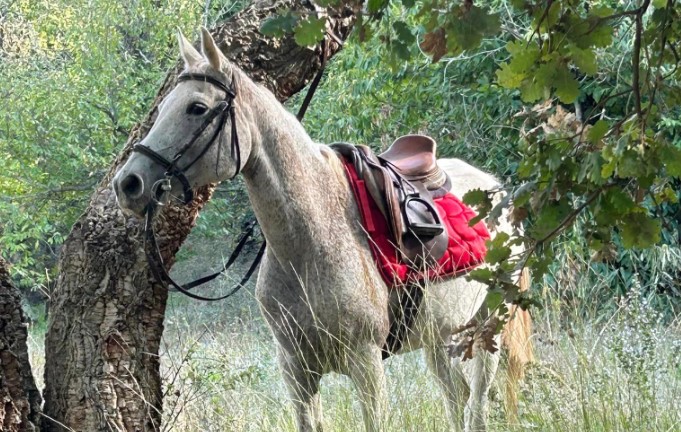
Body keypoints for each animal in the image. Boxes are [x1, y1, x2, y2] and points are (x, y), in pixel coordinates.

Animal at [112, 28, 533, 432]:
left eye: (197, 107)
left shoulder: (366, 366)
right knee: (456, 398)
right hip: (440, 337)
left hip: (487, 332)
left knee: (477, 406)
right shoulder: (296, 370)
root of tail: (498, 190)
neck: (311, 241)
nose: (128, 183)